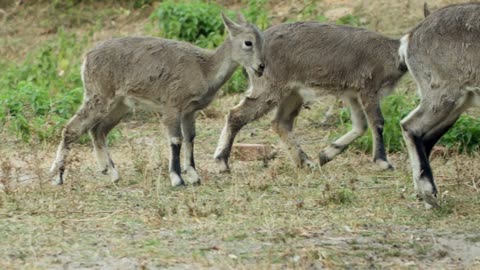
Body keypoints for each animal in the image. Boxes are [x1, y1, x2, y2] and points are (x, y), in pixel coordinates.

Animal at [50, 13, 266, 187]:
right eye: (248, 42)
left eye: (262, 41)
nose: (261, 67)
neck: (204, 69)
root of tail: (86, 58)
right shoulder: (172, 105)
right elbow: (176, 139)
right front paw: (177, 179)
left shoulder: (189, 111)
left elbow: (190, 138)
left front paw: (194, 176)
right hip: (98, 95)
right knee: (72, 128)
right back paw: (58, 176)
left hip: (119, 105)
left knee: (98, 130)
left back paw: (111, 172)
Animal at [216, 22, 406, 172]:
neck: (392, 54)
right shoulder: (369, 90)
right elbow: (377, 122)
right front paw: (383, 163)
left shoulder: (352, 94)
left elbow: (361, 126)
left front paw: (326, 154)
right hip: (270, 89)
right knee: (236, 115)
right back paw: (222, 163)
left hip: (293, 93)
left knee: (280, 123)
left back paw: (306, 163)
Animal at [398, 3, 480, 208]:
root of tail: (410, 37)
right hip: (443, 96)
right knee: (410, 126)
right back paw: (429, 193)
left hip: (458, 104)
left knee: (426, 137)